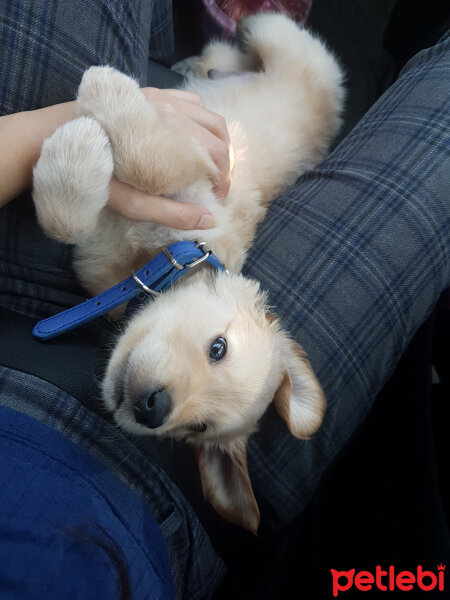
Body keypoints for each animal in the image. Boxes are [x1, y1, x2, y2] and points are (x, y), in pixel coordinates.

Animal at [32, 11, 344, 532]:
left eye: (197, 429)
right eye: (219, 347)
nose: (153, 409)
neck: (154, 265)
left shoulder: (107, 261)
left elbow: (130, 177)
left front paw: (87, 127)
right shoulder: (199, 187)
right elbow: (102, 198)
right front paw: (93, 115)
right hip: (277, 34)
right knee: (243, 45)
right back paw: (201, 64)